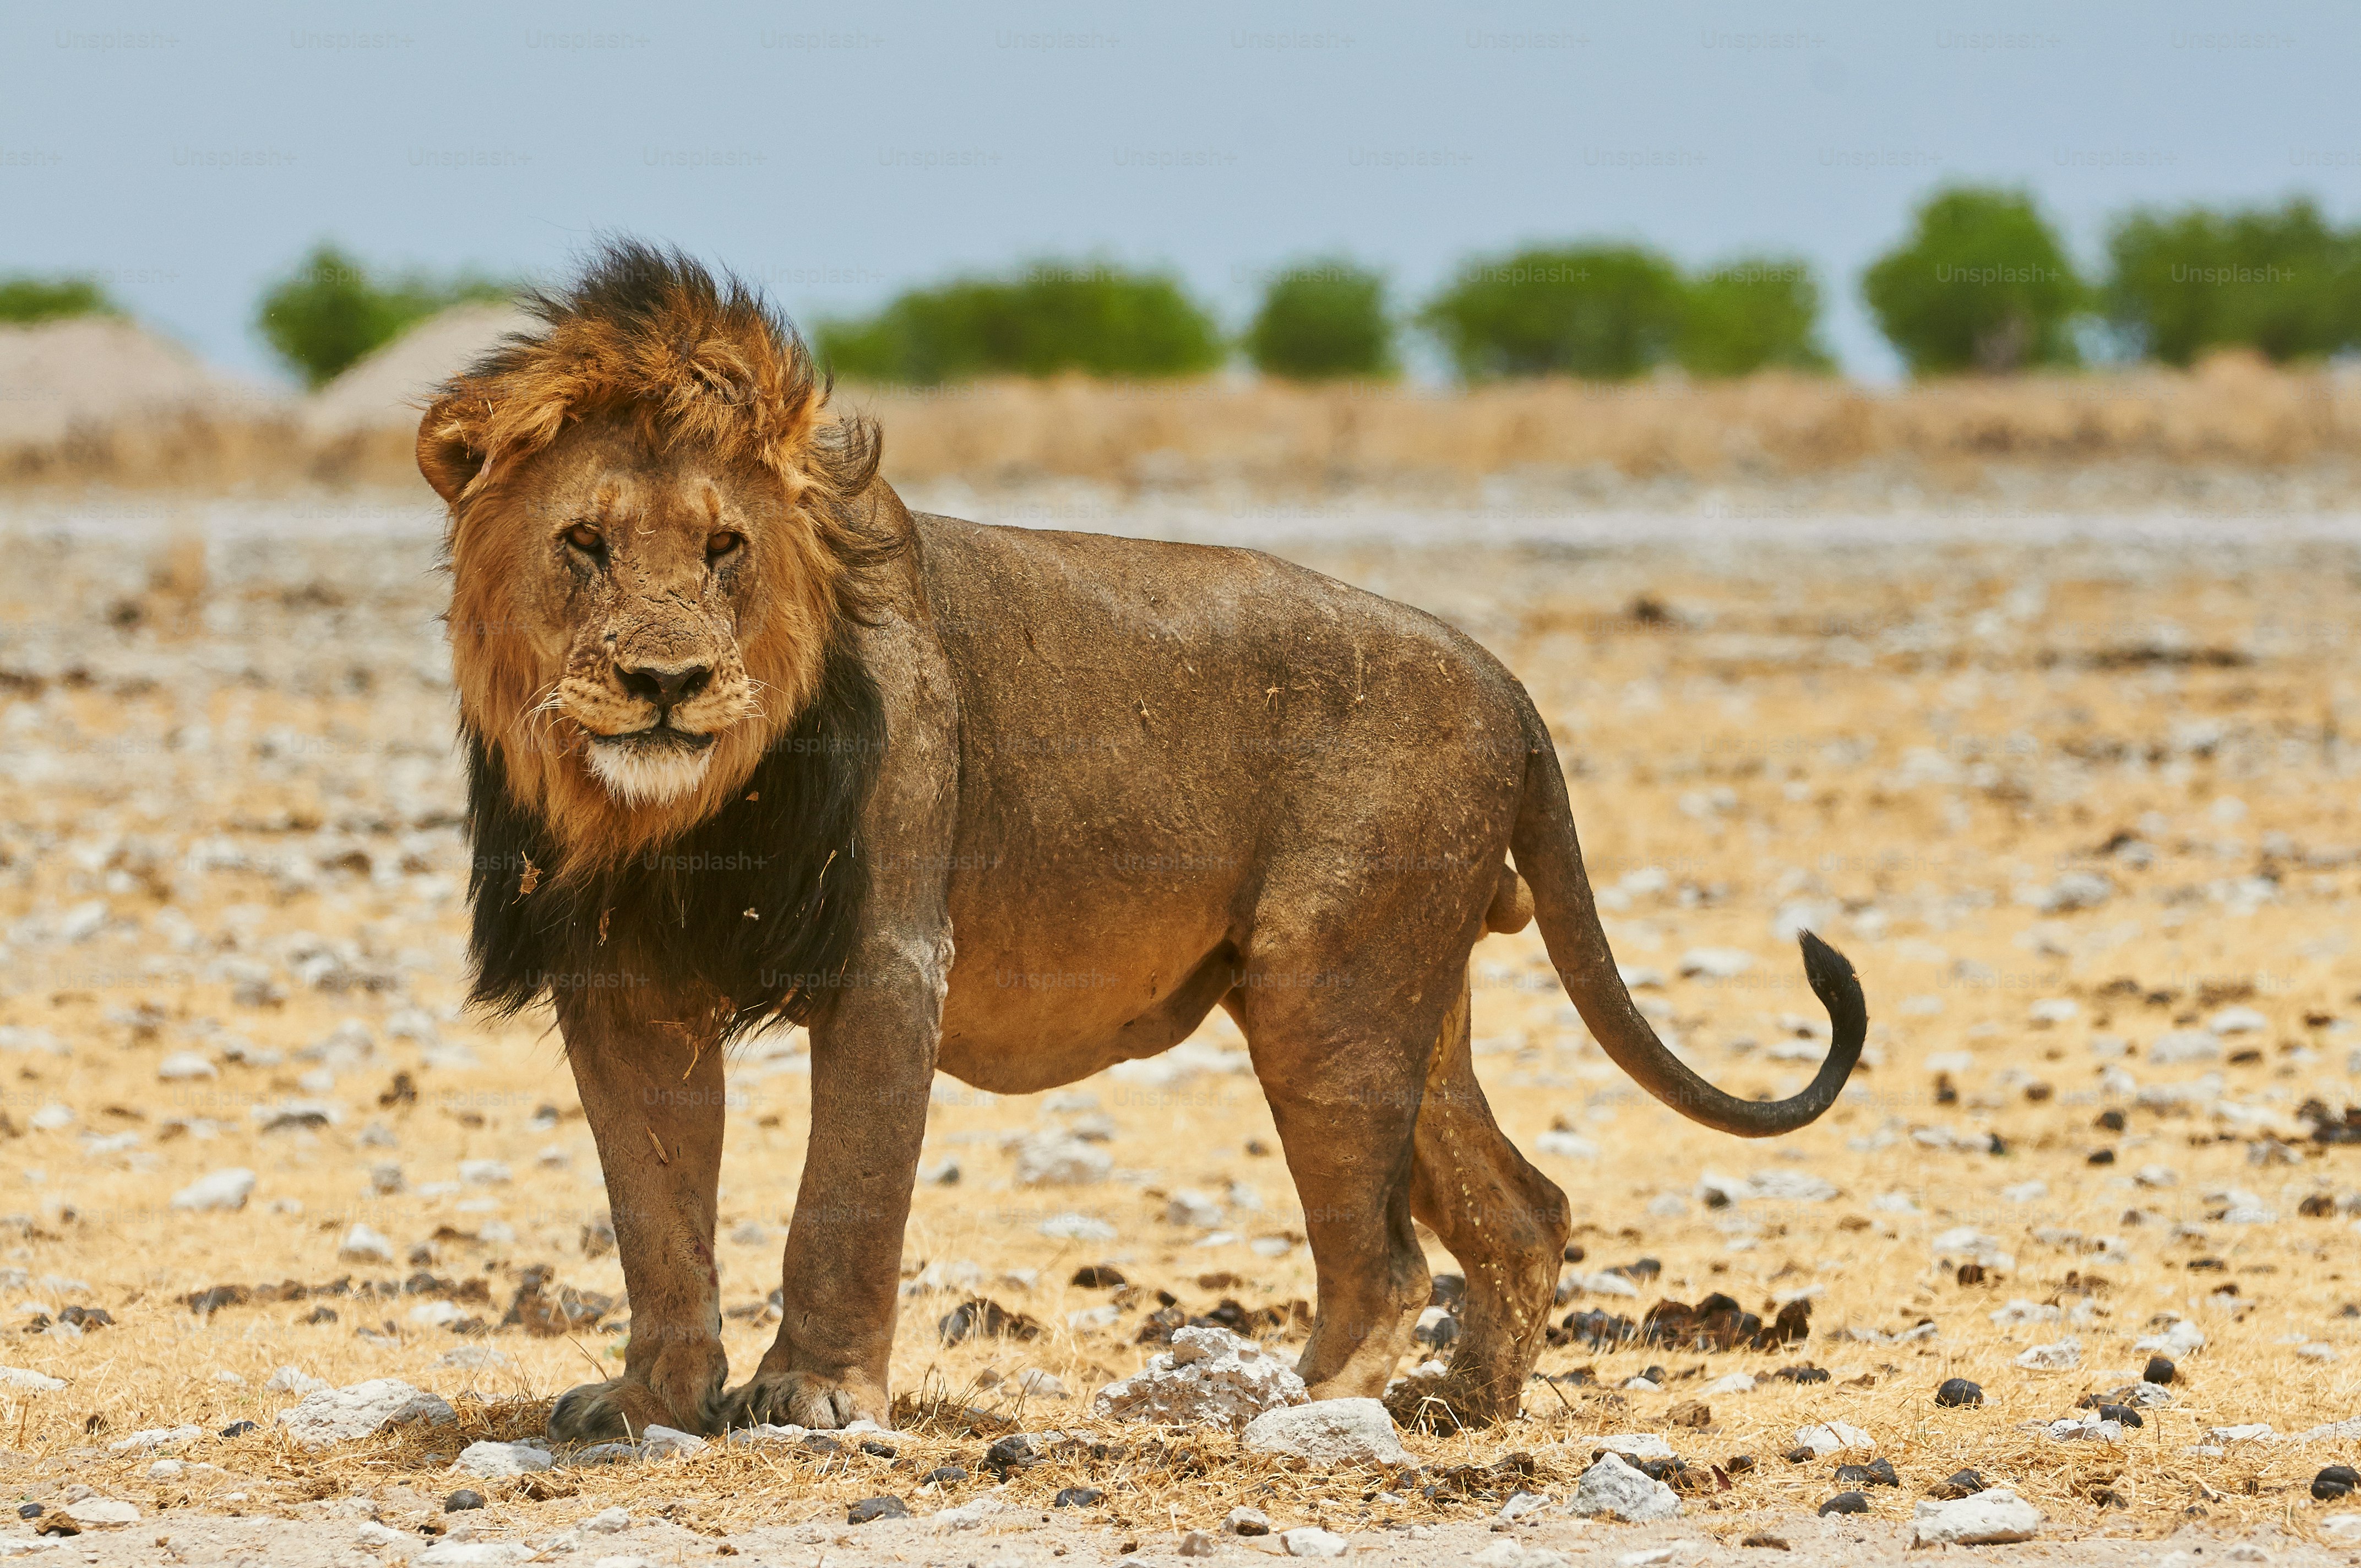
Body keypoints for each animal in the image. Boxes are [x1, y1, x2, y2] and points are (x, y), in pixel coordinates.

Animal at [419, 242, 1866, 1441]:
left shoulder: (890, 955)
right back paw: (1463, 1404)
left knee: (1386, 1252)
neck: (668, 819)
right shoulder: (617, 982)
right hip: (1407, 989)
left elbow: (844, 1189)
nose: (667, 682)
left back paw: (1299, 1402)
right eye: (583, 542)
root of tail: (1500, 677)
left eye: (726, 545)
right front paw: (647, 1398)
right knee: (1520, 1208)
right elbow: (654, 1210)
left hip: (1322, 989)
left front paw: (814, 1393)